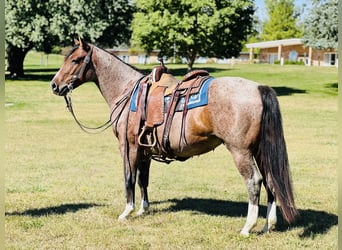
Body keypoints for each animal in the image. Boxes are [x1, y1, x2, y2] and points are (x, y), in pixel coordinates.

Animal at [49, 39, 298, 236]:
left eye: (75, 60)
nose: (54, 85)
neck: (126, 91)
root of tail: (258, 88)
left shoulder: (128, 146)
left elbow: (129, 178)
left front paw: (127, 211)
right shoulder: (145, 150)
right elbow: (143, 179)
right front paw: (143, 209)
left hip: (240, 151)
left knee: (254, 181)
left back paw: (248, 227)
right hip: (260, 150)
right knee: (270, 180)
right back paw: (267, 225)